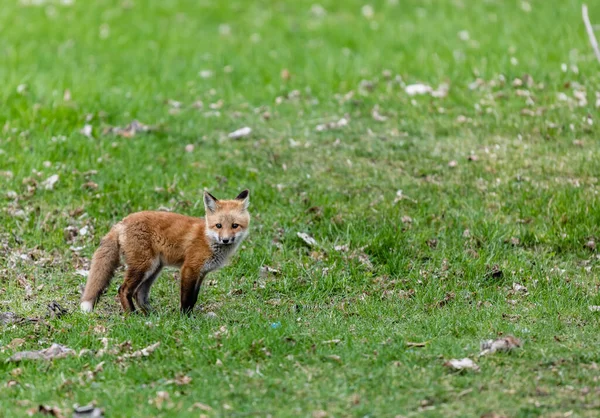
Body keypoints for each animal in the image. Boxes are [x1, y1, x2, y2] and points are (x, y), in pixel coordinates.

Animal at [79, 189, 248, 314]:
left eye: (235, 225)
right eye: (218, 225)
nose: (225, 240)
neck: (208, 238)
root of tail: (122, 222)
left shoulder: (201, 273)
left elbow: (194, 298)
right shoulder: (189, 268)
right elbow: (187, 299)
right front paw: (185, 318)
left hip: (154, 268)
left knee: (139, 294)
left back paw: (152, 316)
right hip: (143, 266)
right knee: (124, 289)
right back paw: (133, 316)